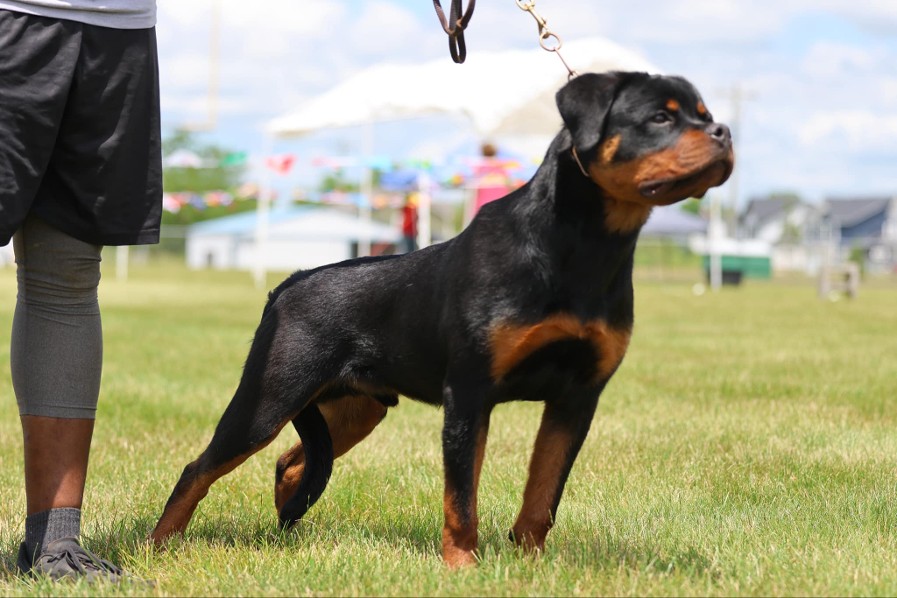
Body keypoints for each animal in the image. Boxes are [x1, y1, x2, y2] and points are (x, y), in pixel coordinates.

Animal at [150, 70, 732, 568]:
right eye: (659, 118)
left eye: (704, 114)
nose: (724, 133)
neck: (585, 247)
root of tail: (287, 283)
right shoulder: (469, 391)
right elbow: (461, 496)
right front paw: (462, 567)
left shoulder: (577, 398)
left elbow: (543, 492)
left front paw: (531, 563)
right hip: (269, 397)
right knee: (198, 468)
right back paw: (160, 544)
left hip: (355, 407)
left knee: (292, 462)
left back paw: (286, 525)